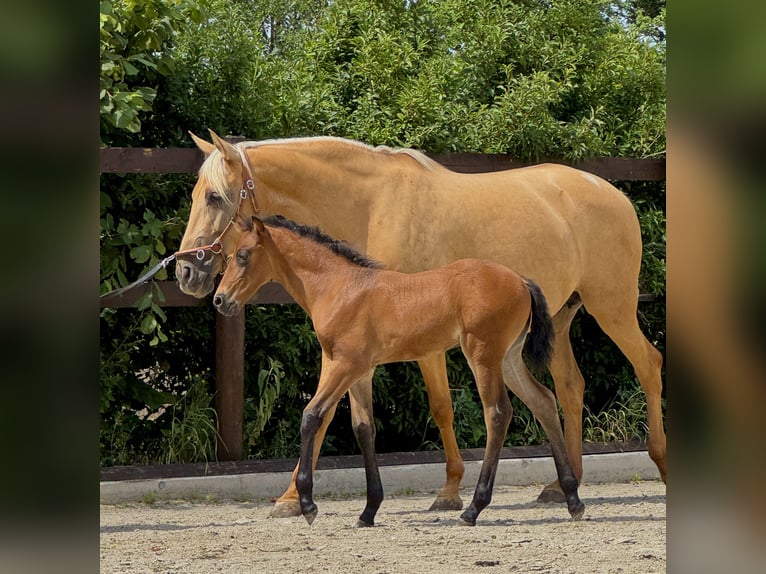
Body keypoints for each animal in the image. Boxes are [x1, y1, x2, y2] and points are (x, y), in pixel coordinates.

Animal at [213, 214, 586, 527]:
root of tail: (521, 281)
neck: (338, 287)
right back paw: (572, 499)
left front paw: (308, 505)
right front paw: (368, 510)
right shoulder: (360, 372)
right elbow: (363, 428)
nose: (219, 300)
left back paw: (473, 509)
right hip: (508, 358)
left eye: (242, 255)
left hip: (483, 355)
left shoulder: (345, 365)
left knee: (497, 413)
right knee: (543, 401)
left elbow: (312, 415)